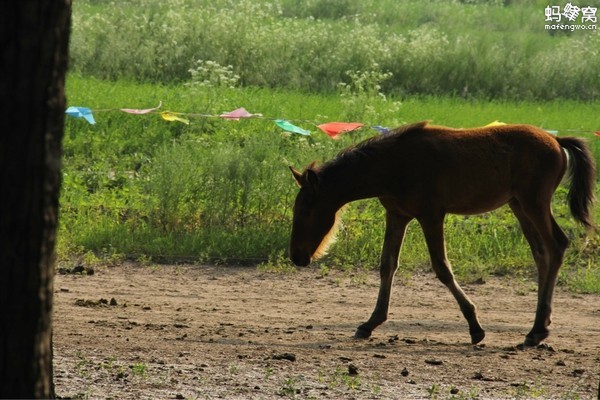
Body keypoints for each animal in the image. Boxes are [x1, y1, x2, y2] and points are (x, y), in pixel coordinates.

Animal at [290, 120, 596, 346]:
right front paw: (369, 323)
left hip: (534, 202)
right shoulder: (397, 215)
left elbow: (442, 268)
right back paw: (538, 328)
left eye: (305, 210)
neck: (394, 164)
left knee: (556, 246)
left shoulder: (431, 215)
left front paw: (475, 327)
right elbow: (388, 264)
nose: (297, 257)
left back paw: (536, 331)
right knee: (542, 254)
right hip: (519, 205)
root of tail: (557, 141)